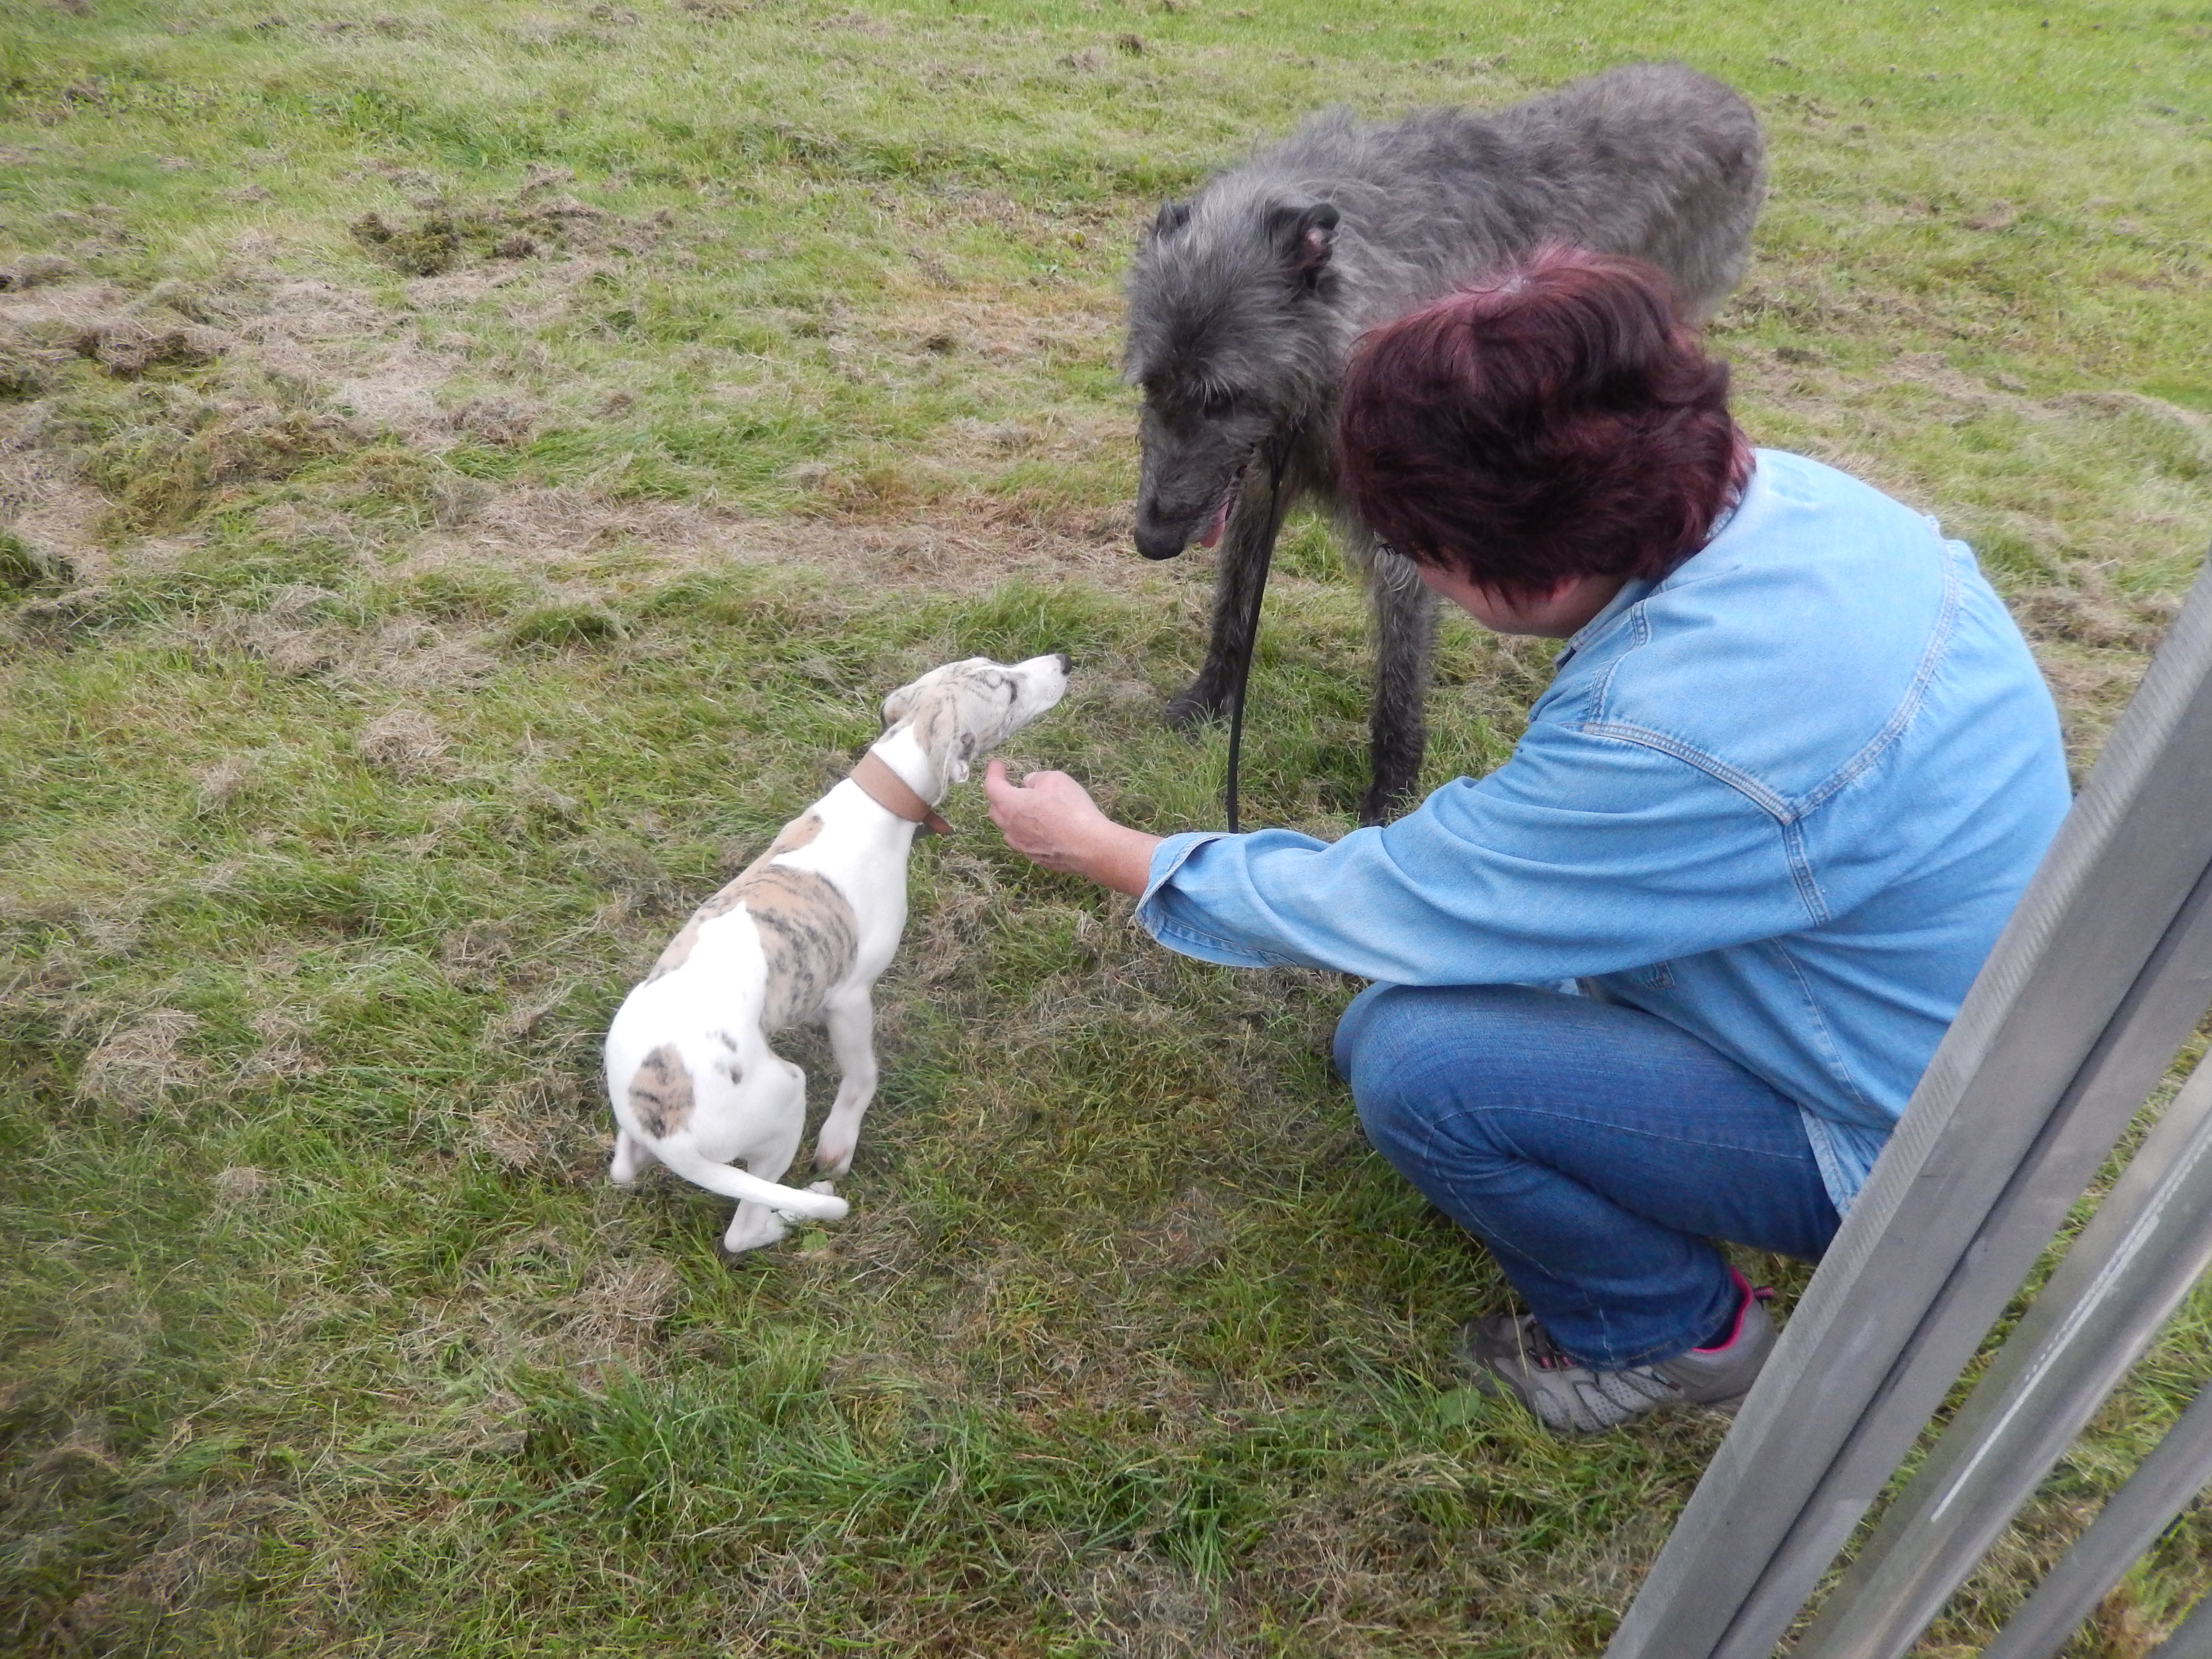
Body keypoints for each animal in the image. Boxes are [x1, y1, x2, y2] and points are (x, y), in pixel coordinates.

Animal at [597, 655, 1062, 1256]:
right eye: (1006, 688)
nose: (1063, 662)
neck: (879, 800)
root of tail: (666, 1133)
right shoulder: (852, 995)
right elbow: (862, 1073)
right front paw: (840, 1141)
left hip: (640, 1135)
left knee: (626, 1169)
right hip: (785, 1095)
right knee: (744, 1231)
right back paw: (793, 1213)